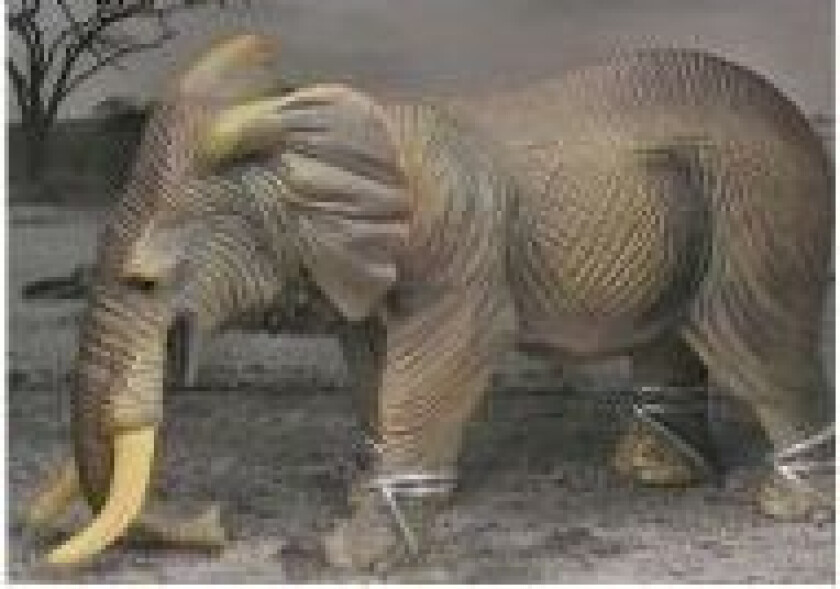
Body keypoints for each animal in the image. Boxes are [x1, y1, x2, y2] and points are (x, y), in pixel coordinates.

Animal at [24, 35, 833, 570]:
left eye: (147, 282)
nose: (218, 524)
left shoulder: (454, 242)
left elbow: (447, 358)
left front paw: (351, 551)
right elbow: (371, 360)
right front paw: (367, 494)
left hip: (757, 219)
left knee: (758, 346)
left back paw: (787, 506)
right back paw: (654, 473)